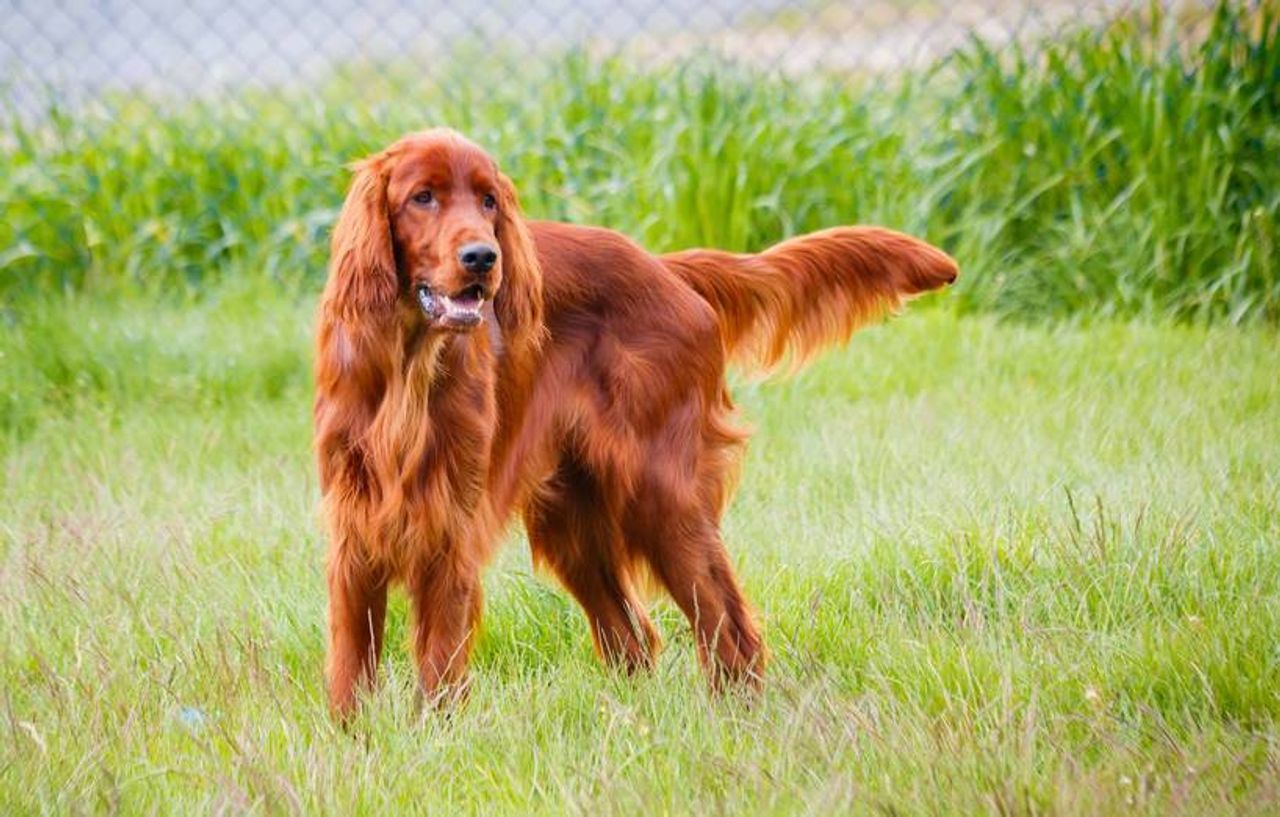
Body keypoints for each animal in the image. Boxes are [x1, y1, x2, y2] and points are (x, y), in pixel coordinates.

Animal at [314, 128, 957, 717]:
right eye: (422, 197)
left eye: (489, 200)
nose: (482, 257)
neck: (408, 362)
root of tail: (666, 268)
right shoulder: (355, 528)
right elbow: (350, 658)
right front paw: (355, 739)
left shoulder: (449, 525)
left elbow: (439, 659)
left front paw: (436, 735)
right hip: (573, 520)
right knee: (634, 640)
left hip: (660, 493)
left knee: (727, 624)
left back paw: (734, 719)